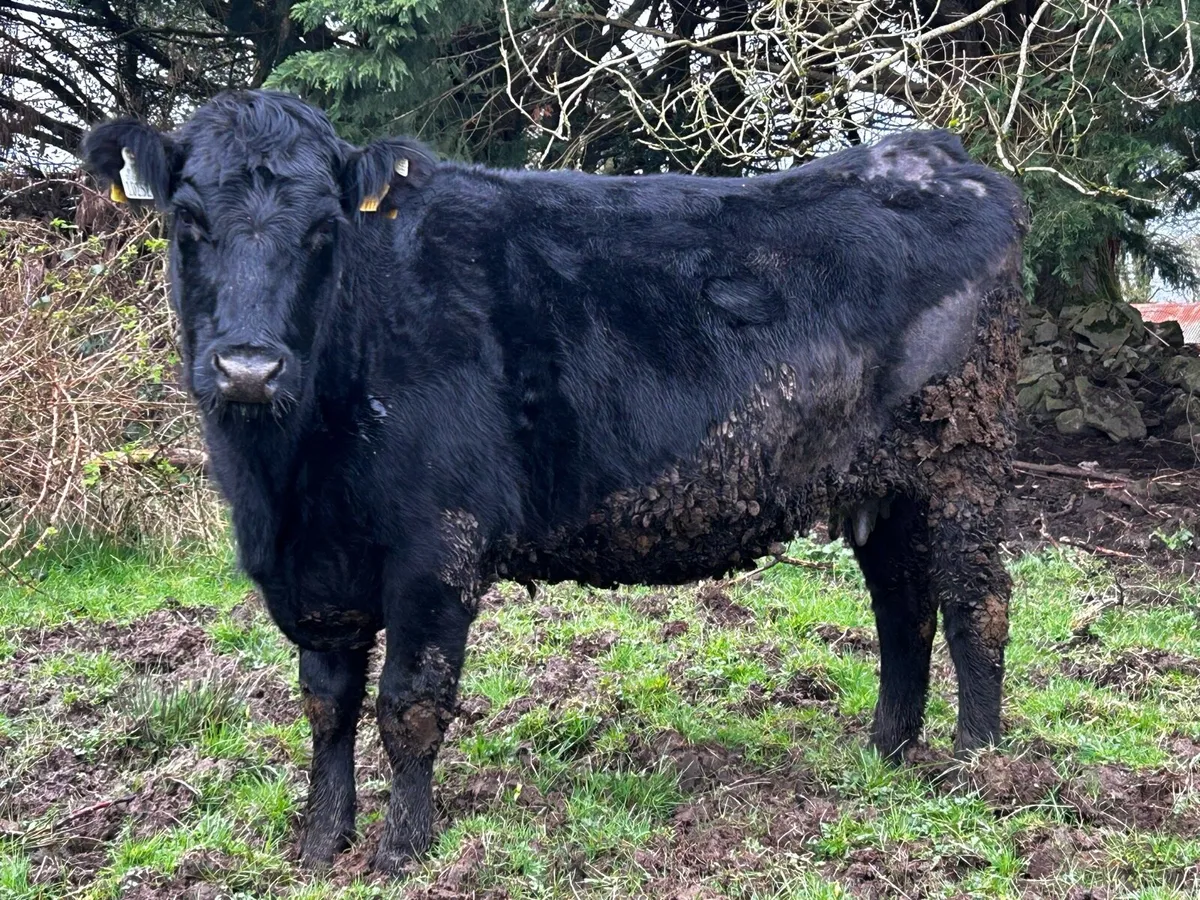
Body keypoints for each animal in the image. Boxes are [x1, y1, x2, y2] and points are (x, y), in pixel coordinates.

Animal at [82, 89, 1026, 874]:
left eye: (323, 230)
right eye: (187, 220)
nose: (248, 367)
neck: (288, 482)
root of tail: (936, 156)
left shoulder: (437, 546)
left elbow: (409, 705)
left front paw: (404, 851)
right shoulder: (315, 573)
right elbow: (327, 704)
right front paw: (321, 843)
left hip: (963, 464)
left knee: (975, 601)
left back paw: (981, 770)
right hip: (880, 484)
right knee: (902, 606)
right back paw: (886, 755)